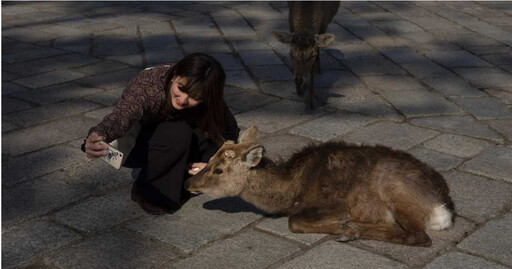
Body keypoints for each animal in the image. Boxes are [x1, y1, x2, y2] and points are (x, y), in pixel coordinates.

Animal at [184, 126, 452, 246]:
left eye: (218, 170)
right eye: (209, 160)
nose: (188, 182)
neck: (292, 190)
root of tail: (444, 209)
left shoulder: (334, 204)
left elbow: (294, 221)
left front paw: (343, 227)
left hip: (397, 193)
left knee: (418, 236)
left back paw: (351, 230)